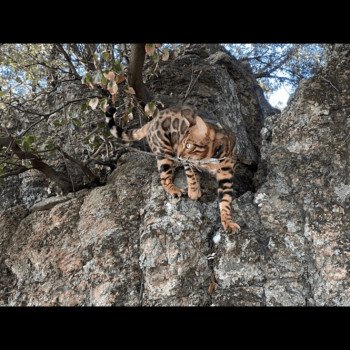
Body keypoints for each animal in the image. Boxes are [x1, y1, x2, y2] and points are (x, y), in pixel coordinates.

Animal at [105, 105, 239, 234]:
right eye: (181, 143)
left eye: (188, 145)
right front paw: (194, 192)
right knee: (164, 178)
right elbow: (191, 176)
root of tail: (154, 118)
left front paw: (228, 222)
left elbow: (225, 201)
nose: (178, 155)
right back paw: (174, 189)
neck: (208, 160)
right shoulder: (188, 162)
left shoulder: (226, 176)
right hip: (164, 152)